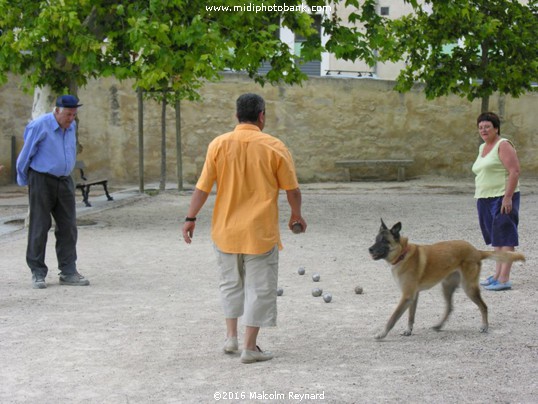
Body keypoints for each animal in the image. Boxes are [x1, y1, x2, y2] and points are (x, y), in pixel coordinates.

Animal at [366, 219, 520, 340]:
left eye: (385, 241)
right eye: (376, 239)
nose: (370, 249)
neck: (403, 254)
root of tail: (476, 251)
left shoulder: (407, 296)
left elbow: (393, 318)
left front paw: (382, 334)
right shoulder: (413, 296)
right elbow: (411, 316)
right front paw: (408, 330)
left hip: (468, 288)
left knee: (484, 306)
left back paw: (484, 326)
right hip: (447, 287)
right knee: (450, 307)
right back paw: (439, 325)